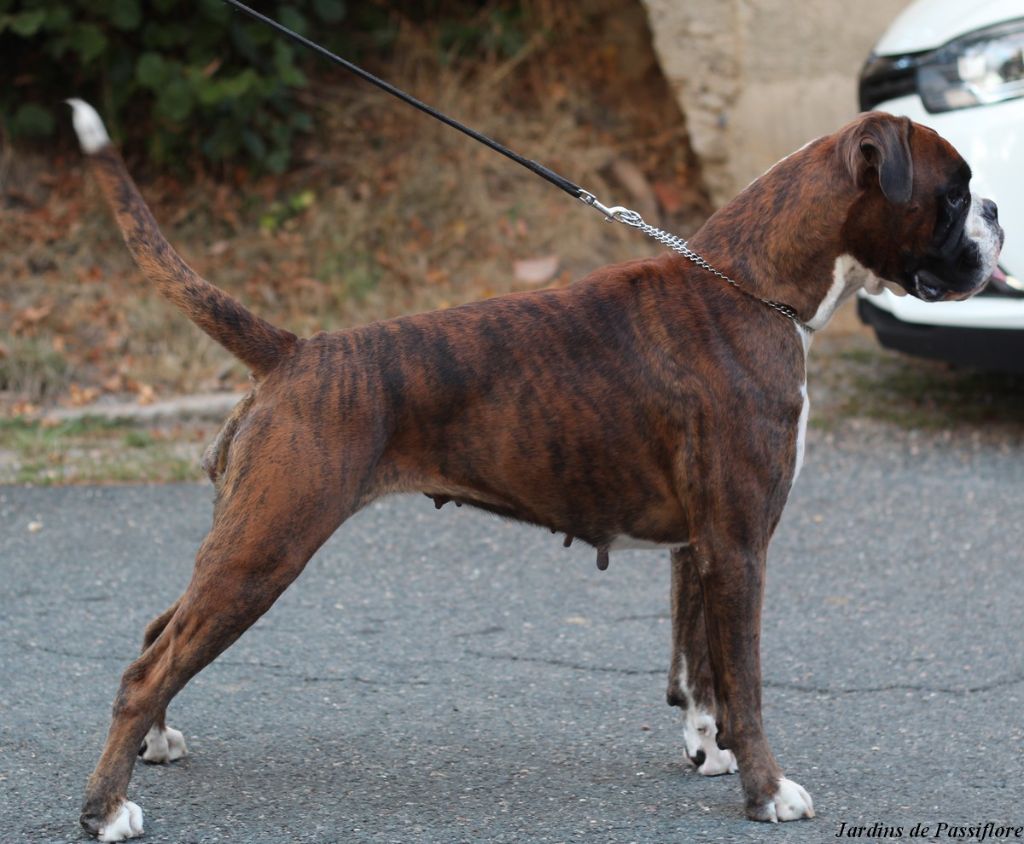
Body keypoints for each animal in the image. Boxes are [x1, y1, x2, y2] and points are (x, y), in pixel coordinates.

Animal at [68, 97, 1003, 835]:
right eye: (953, 194)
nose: (996, 209)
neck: (752, 285)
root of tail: (297, 351)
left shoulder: (700, 547)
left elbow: (699, 668)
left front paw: (709, 750)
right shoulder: (740, 546)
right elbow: (747, 679)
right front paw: (767, 793)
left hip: (245, 536)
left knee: (159, 633)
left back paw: (155, 744)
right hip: (268, 545)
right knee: (148, 666)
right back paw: (105, 810)